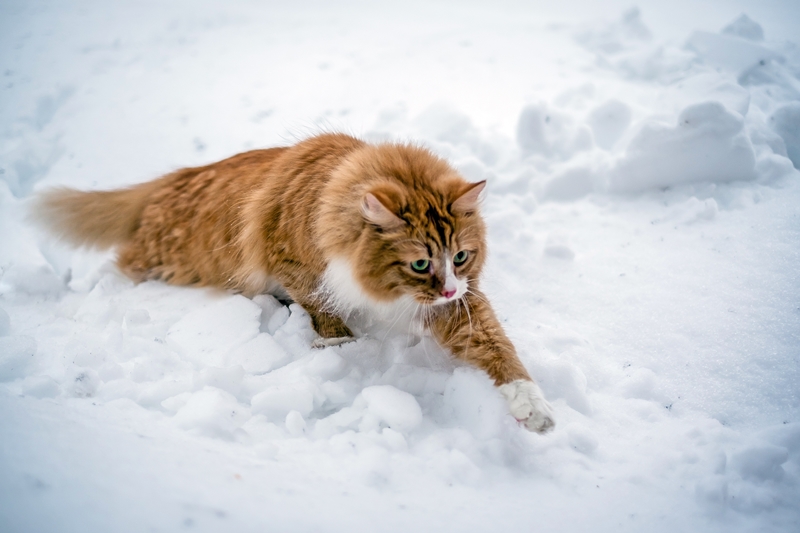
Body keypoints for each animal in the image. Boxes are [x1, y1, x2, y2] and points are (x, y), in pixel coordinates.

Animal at [32, 132, 556, 432]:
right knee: (119, 263)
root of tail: (172, 178)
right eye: (420, 264)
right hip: (163, 261)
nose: (449, 288)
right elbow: (321, 307)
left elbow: (499, 350)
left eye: (461, 257)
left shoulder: (458, 305)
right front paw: (339, 343)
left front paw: (533, 409)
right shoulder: (284, 255)